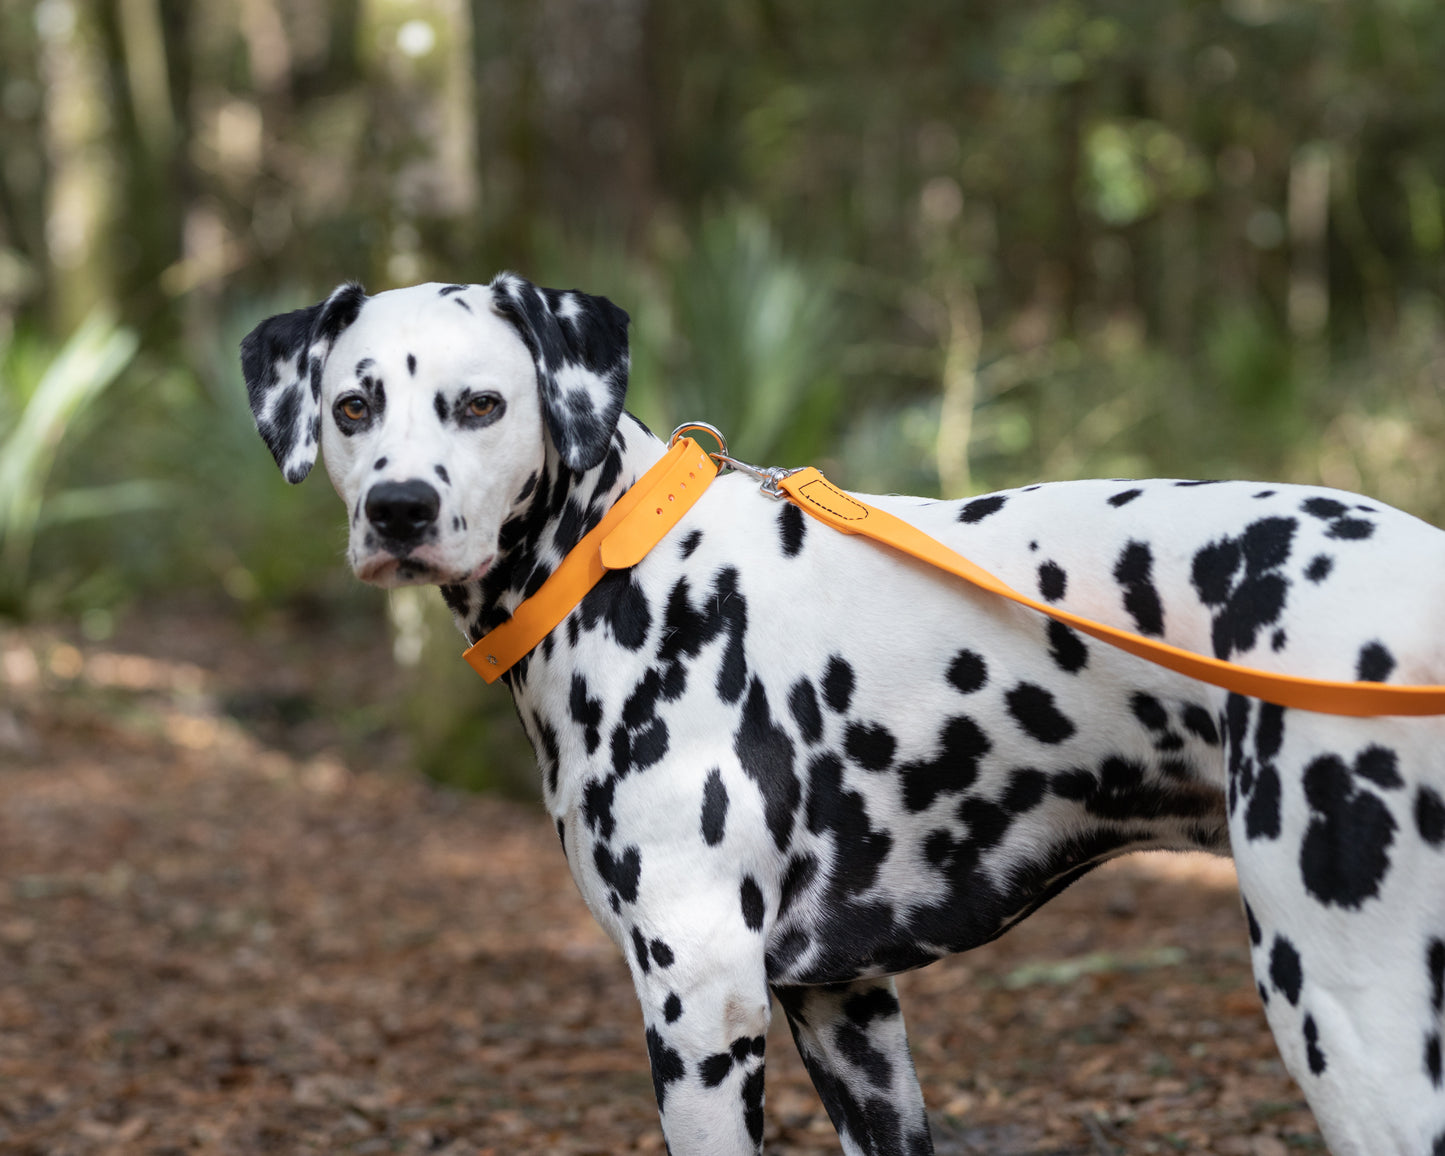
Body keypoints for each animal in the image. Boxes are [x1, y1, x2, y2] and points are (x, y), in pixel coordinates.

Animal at [242, 275, 1445, 1150]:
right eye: (352, 406)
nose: (399, 509)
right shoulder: (847, 1009)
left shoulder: (701, 1001)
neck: (618, 562)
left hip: (1343, 1017)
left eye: (481, 404)